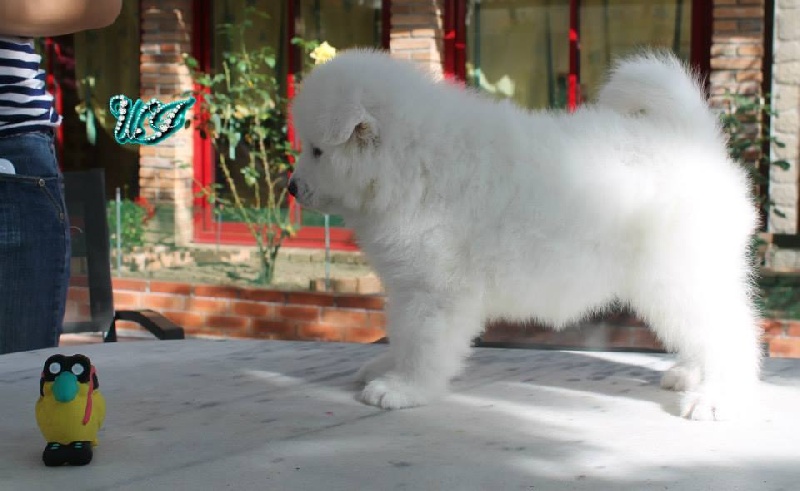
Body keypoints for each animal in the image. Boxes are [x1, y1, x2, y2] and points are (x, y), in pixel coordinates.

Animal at [288, 50, 761, 420]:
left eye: (317, 150)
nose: (291, 187)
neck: (411, 162)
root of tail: (692, 139)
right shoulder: (408, 286)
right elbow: (402, 334)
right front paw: (386, 367)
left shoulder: (435, 290)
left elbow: (422, 342)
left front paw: (404, 388)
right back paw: (689, 376)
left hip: (680, 275)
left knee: (729, 333)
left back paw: (715, 398)